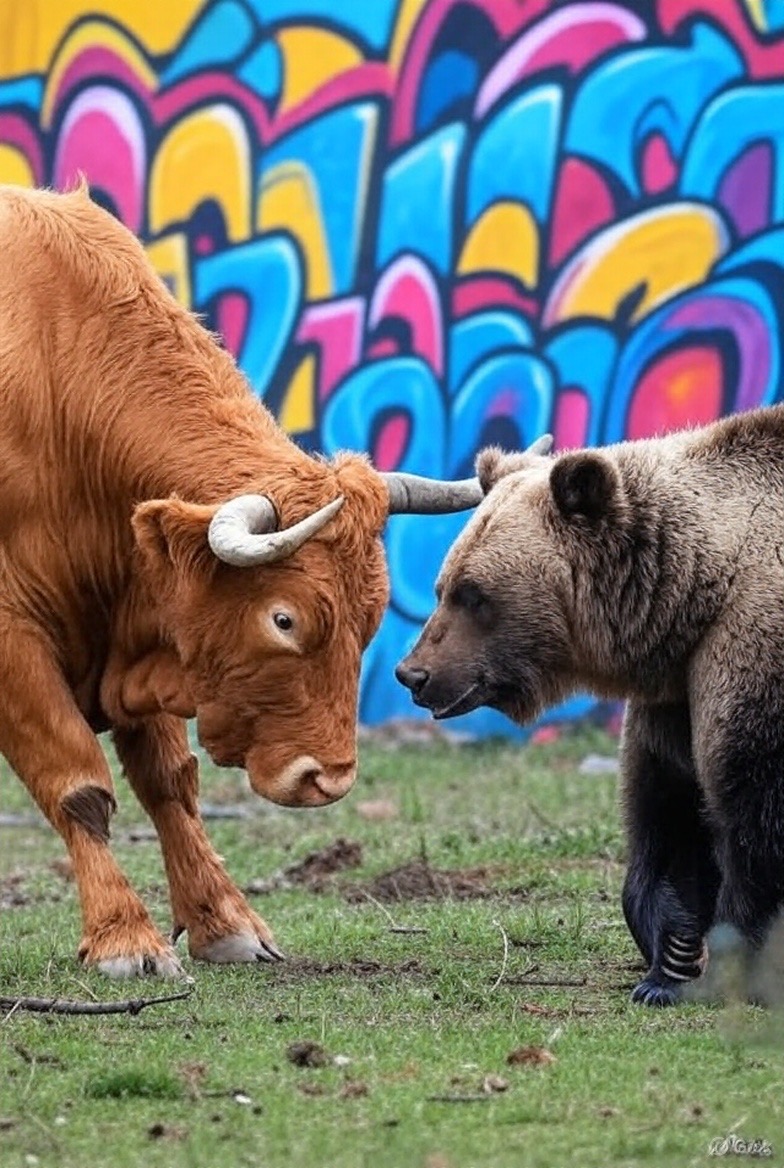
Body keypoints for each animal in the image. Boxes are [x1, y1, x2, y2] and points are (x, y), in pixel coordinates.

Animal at [395, 406, 784, 1006]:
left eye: (473, 593)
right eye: (444, 586)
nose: (414, 674)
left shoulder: (750, 647)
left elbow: (752, 811)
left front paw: (721, 967)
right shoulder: (675, 690)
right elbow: (668, 806)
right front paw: (672, 955)